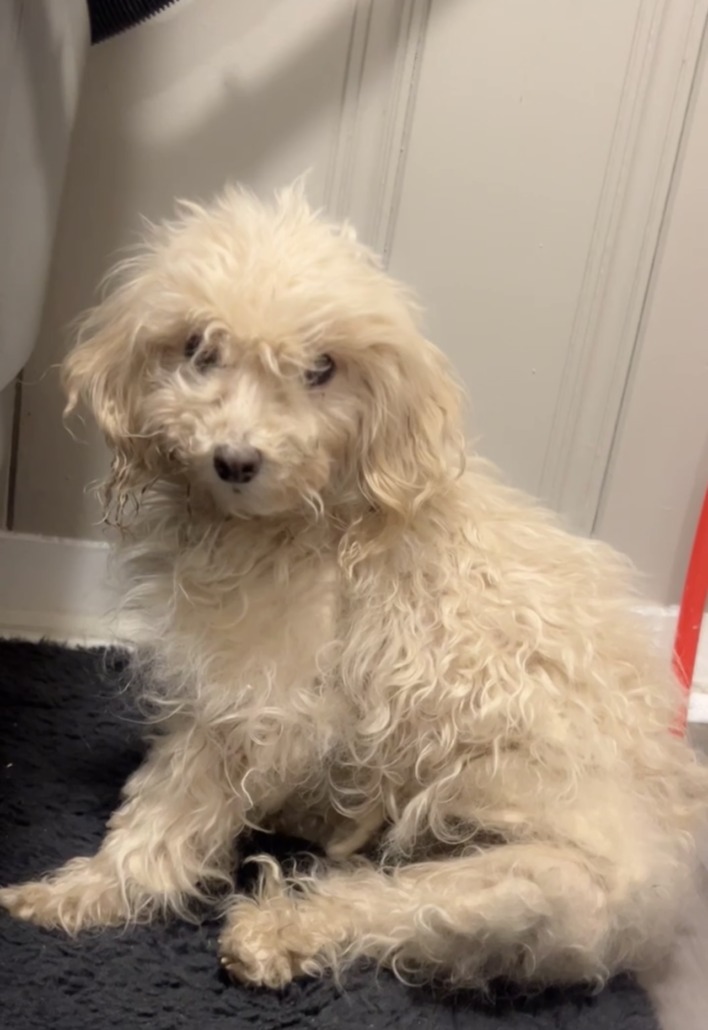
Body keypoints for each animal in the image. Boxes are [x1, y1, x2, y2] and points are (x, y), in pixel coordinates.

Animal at [1, 184, 706, 990]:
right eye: (199, 350)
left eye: (320, 368)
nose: (234, 459)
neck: (313, 523)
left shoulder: (253, 706)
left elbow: (163, 819)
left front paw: (88, 892)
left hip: (529, 883)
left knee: (388, 907)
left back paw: (276, 932)